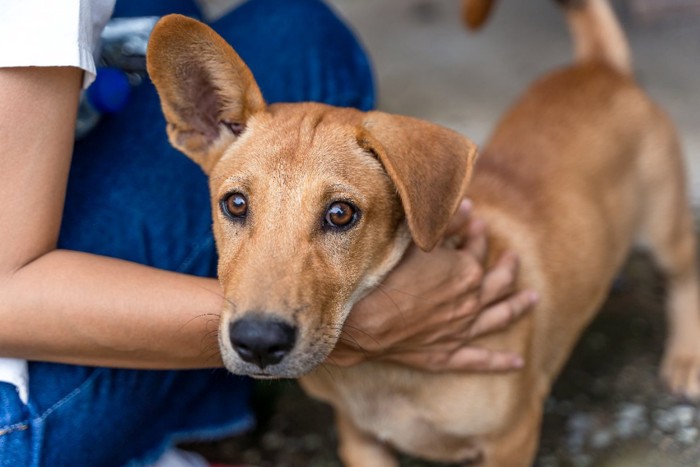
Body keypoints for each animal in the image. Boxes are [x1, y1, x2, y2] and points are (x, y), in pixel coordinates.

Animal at [146, 0, 700, 464]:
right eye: (235, 204)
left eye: (341, 214)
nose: (258, 343)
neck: (386, 376)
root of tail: (600, 68)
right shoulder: (360, 438)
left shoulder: (512, 438)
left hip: (665, 225)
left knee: (685, 270)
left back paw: (686, 358)